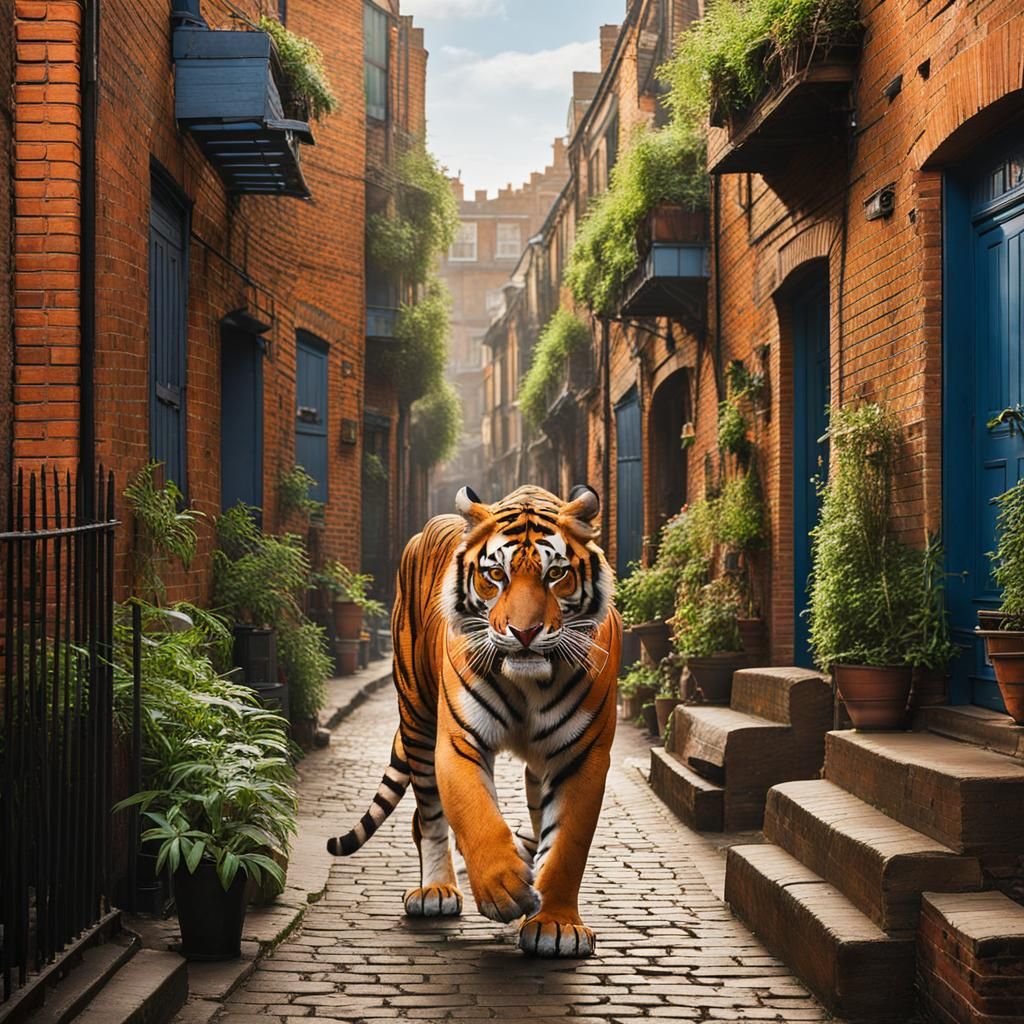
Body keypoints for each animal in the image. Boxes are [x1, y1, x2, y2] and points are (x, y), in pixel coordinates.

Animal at [327, 483, 621, 958]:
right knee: (427, 817)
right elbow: (475, 813)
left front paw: (555, 924)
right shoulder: (457, 740)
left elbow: (565, 844)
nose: (524, 633)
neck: (529, 684)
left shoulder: (580, 755)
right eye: (496, 575)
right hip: (417, 718)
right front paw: (503, 886)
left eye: (556, 574)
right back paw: (437, 892)